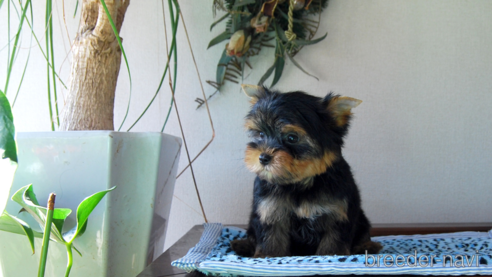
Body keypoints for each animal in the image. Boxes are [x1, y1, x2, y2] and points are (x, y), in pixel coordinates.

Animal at [231, 85, 380, 258]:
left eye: (292, 138)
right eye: (260, 134)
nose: (263, 157)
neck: (300, 182)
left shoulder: (337, 213)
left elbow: (333, 244)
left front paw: (331, 256)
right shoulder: (270, 211)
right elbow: (271, 242)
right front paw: (266, 256)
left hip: (361, 218)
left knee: (363, 231)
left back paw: (367, 246)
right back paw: (243, 245)